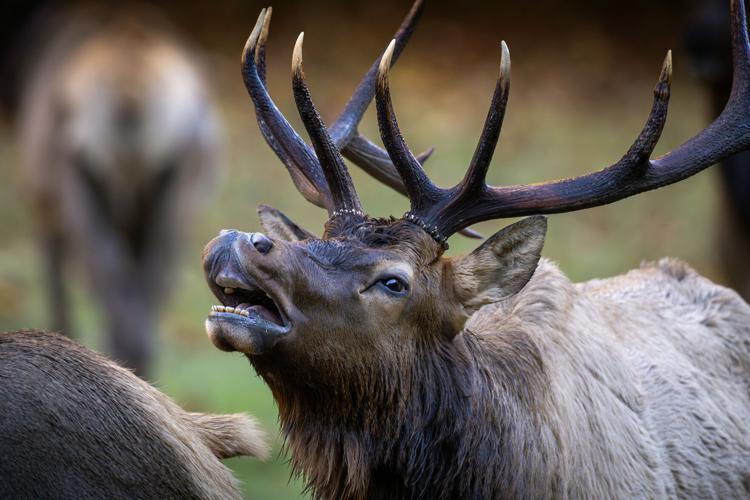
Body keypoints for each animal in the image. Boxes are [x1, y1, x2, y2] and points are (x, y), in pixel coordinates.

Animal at [17, 4, 220, 377]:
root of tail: (130, 98)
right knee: (151, 279)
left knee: (105, 271)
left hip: (79, 185)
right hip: (173, 194)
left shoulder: (41, 197)